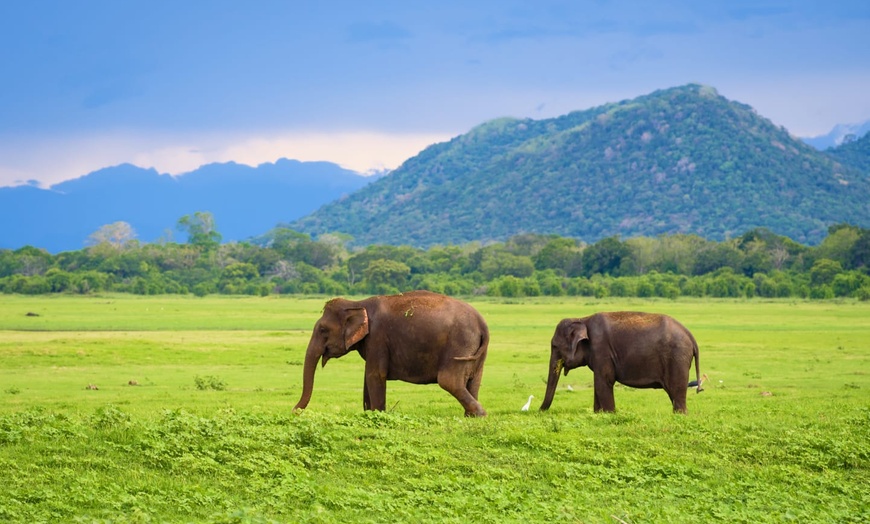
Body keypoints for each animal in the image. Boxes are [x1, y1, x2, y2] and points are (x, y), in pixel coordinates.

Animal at [294, 290, 490, 418]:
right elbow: (367, 377)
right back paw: (470, 416)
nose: (294, 412)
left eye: (322, 330)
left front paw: (378, 415)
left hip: (459, 344)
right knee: (474, 381)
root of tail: (482, 323)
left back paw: (480, 414)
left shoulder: (377, 338)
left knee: (449, 381)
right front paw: (368, 413)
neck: (357, 304)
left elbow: (375, 375)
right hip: (476, 352)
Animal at [540, 312, 704, 414]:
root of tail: (691, 336)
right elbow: (599, 385)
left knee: (676, 392)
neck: (582, 319)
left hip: (677, 359)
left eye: (555, 346)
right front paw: (598, 414)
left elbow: (604, 382)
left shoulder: (601, 350)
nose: (539, 411)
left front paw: (609, 414)